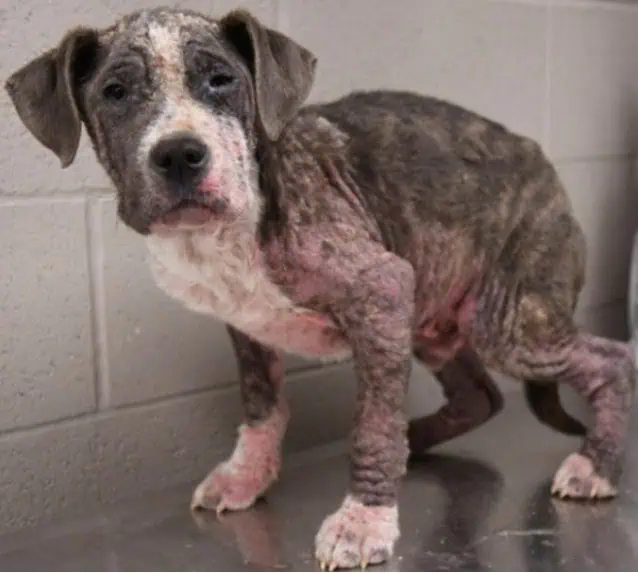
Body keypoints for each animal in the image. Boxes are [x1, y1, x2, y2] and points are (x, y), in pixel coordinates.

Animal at [5, 7, 635, 570]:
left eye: (221, 80)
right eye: (115, 92)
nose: (180, 154)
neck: (232, 225)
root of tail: (542, 162)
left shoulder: (381, 289)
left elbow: (371, 426)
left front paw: (364, 520)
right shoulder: (248, 325)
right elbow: (262, 406)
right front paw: (246, 476)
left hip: (508, 322)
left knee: (611, 359)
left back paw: (596, 466)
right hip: (432, 320)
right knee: (480, 396)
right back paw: (417, 440)